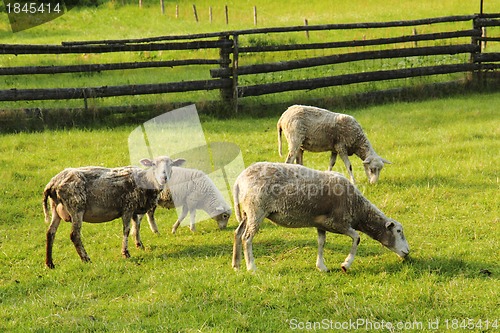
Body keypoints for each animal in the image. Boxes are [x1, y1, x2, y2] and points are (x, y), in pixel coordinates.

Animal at [42, 155, 187, 268]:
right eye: (153, 164)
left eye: (171, 165)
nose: (164, 177)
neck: (146, 181)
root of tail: (52, 183)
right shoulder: (127, 207)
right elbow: (127, 230)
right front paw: (126, 253)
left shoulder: (134, 209)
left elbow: (137, 226)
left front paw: (139, 245)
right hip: (76, 207)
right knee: (74, 235)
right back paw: (86, 259)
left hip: (55, 209)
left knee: (50, 233)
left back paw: (49, 263)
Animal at [232, 161, 408, 272]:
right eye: (398, 231)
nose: (407, 252)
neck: (358, 208)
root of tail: (239, 179)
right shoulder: (339, 223)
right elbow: (357, 238)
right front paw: (346, 264)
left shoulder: (321, 224)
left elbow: (321, 243)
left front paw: (321, 267)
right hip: (256, 210)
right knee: (247, 238)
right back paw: (251, 268)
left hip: (247, 212)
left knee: (238, 233)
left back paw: (236, 265)